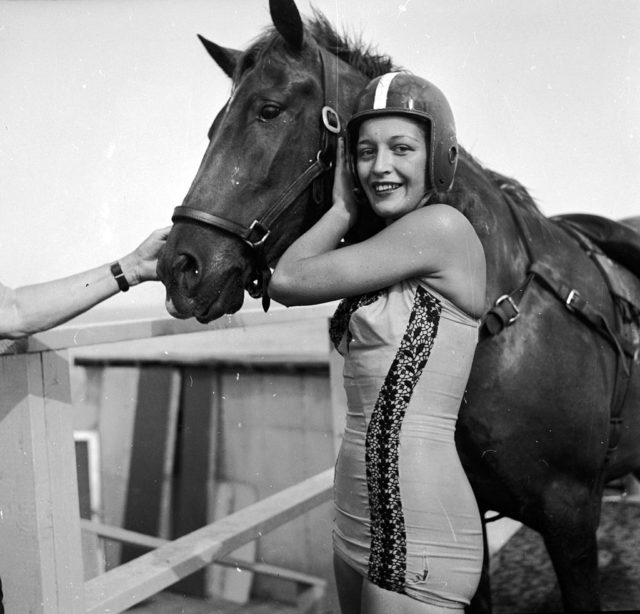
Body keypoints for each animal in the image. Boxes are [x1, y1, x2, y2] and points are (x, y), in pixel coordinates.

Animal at [156, 0, 640, 612]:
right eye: (214, 126)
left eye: (268, 110)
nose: (180, 266)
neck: (506, 320)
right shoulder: (474, 526)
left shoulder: (572, 520)